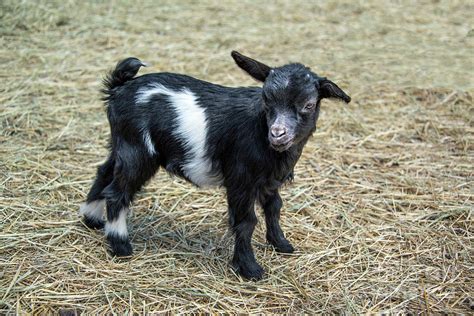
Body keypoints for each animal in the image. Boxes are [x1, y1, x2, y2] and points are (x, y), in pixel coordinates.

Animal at [79, 50, 350, 280]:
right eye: (266, 99)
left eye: (308, 105)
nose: (277, 134)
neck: (260, 131)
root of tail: (118, 89)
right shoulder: (241, 179)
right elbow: (246, 222)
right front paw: (250, 269)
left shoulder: (269, 180)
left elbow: (274, 207)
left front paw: (281, 244)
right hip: (138, 151)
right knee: (118, 192)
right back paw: (121, 245)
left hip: (121, 145)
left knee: (104, 172)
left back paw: (92, 219)